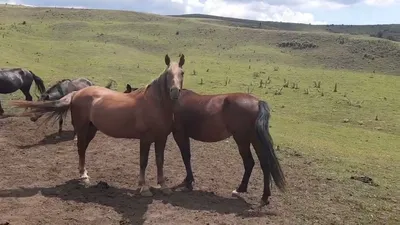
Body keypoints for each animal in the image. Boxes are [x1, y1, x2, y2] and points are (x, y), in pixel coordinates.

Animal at [11, 54, 186, 197]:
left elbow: (160, 160)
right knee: (80, 148)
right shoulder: (145, 139)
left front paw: (164, 186)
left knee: (83, 149)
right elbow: (144, 162)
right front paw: (143, 188)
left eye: (182, 73)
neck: (154, 103)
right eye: (168, 73)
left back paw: (84, 173)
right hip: (82, 129)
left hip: (91, 129)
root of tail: (76, 93)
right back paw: (83, 177)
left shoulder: (161, 138)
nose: (175, 92)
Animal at [125, 83, 284, 207]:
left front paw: (188, 182)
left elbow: (186, 156)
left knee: (250, 162)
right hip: (254, 140)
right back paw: (262, 196)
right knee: (264, 164)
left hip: (243, 139)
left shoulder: (179, 134)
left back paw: (242, 189)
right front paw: (188, 181)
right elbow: (187, 156)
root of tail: (257, 102)